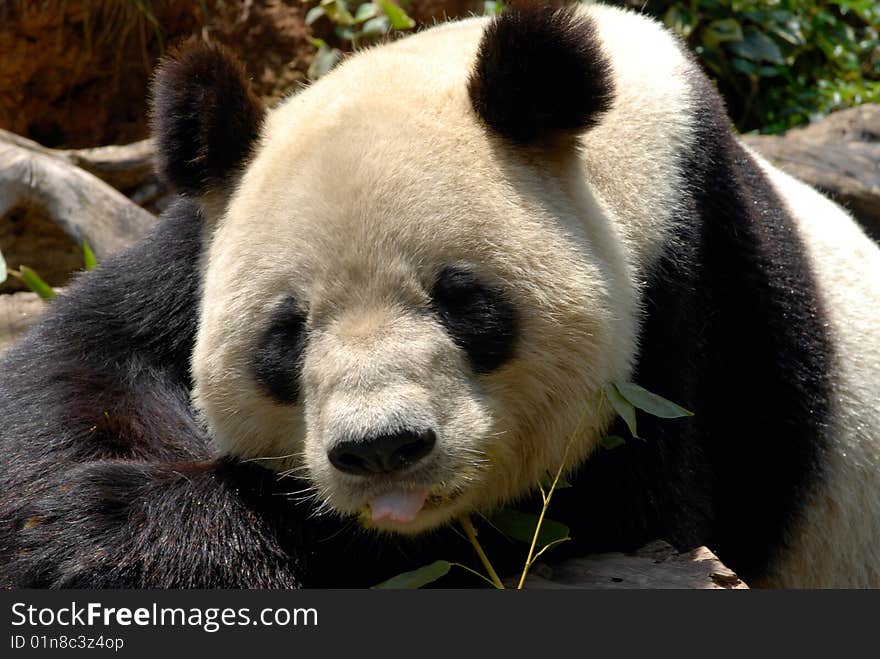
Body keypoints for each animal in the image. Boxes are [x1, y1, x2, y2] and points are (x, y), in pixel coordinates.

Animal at [1, 3, 880, 592]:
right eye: (287, 333)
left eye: (462, 300)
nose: (382, 449)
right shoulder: (196, 237)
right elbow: (83, 355)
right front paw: (57, 525)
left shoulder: (690, 302)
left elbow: (588, 525)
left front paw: (124, 531)